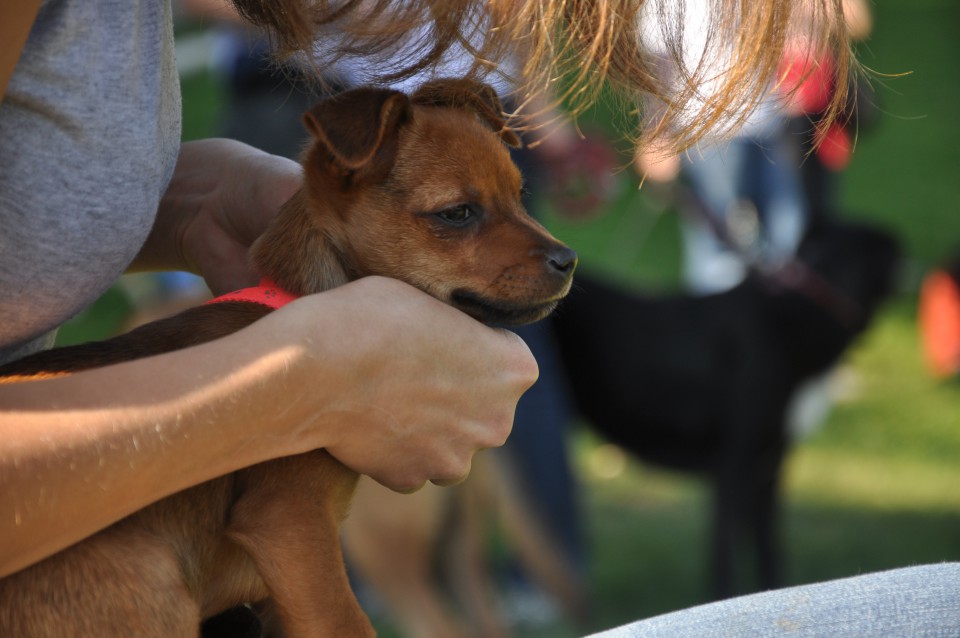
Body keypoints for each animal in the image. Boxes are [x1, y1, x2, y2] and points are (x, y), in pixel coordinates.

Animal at [0, 80, 576, 638]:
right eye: (456, 214)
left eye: (520, 197)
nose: (568, 259)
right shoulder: (290, 527)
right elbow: (346, 625)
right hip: (144, 567)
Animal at [548, 219, 900, 600]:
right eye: (892, 253)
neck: (793, 313)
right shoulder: (733, 467)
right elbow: (725, 557)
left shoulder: (769, 467)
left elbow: (768, 549)